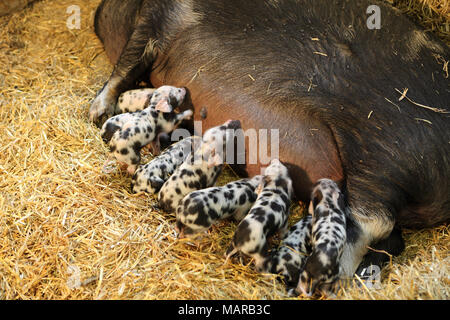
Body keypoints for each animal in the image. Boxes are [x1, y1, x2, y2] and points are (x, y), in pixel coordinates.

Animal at [89, 0, 450, 296]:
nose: (97, 14)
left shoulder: (154, 20)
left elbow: (125, 66)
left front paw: (95, 112)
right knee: (391, 238)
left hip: (379, 152)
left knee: (372, 221)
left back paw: (314, 279)